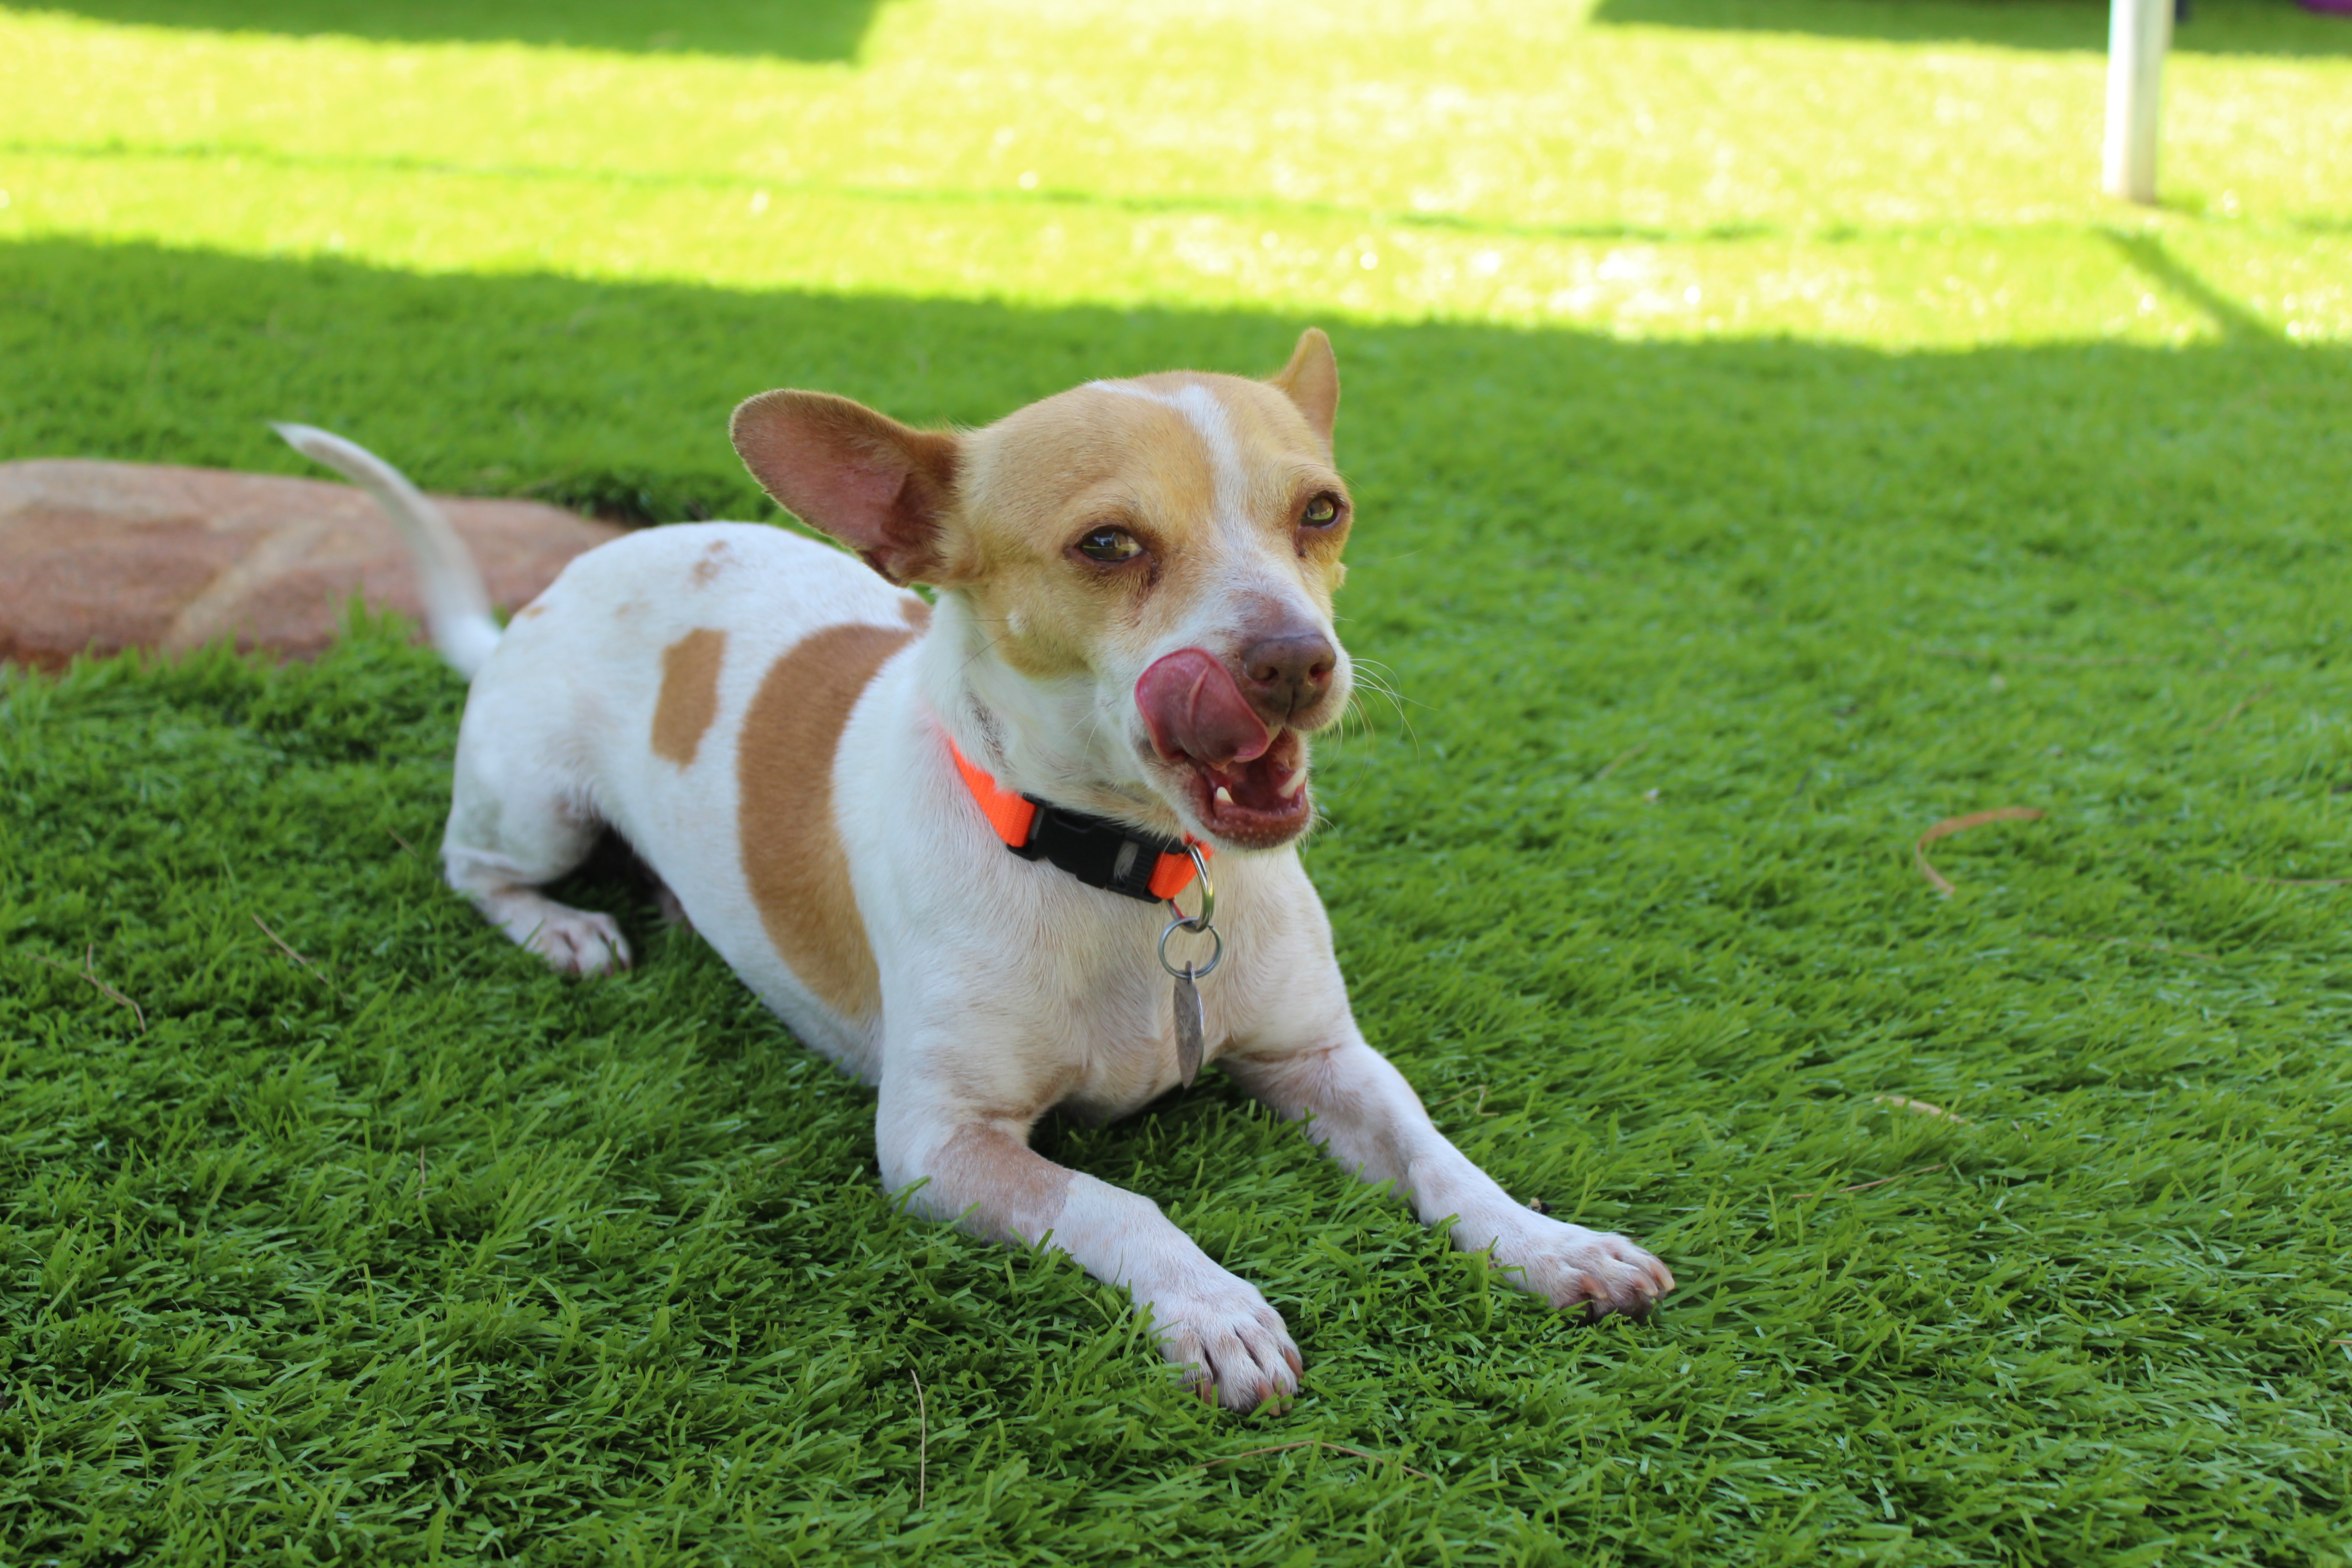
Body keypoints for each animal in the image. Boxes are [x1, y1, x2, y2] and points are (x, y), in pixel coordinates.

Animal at [279, 331, 1675, 1410]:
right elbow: (1117, 1204)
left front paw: (1547, 1242)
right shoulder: (938, 1143)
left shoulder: (1322, 1056)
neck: (1127, 874)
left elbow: (1442, 1157)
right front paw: (1212, 1304)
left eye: (1321, 512)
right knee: (474, 867)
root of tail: (547, 592)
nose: (1293, 660)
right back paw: (563, 929)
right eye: (1108, 544)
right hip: (536, 809)